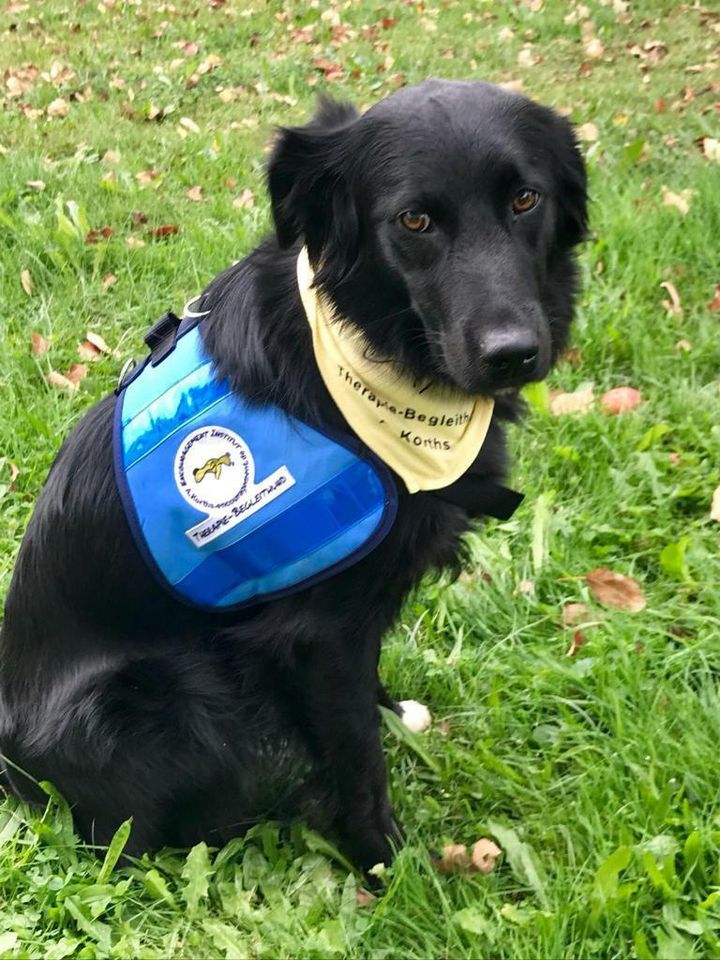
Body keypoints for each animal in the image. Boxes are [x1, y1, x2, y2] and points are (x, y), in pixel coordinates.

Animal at [0, 80, 584, 872]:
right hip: (173, 692)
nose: (513, 354)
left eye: (526, 199)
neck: (366, 364)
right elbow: (356, 758)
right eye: (414, 219)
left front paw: (392, 713)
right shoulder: (319, 636)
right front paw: (385, 864)